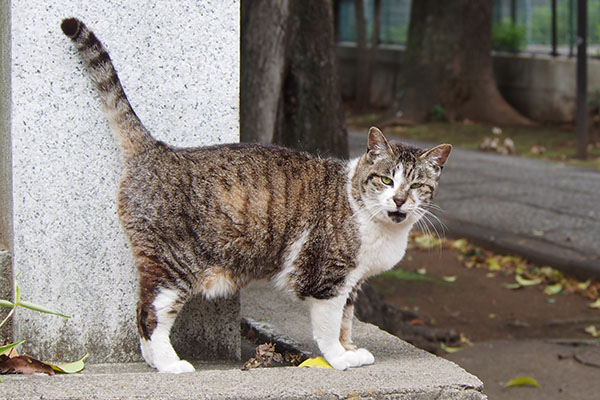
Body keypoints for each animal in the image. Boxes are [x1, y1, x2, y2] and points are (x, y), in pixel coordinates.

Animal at [62, 17, 454, 374]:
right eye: (386, 180)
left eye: (416, 186)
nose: (399, 200)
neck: (378, 223)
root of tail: (156, 149)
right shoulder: (326, 279)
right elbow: (329, 328)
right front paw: (339, 360)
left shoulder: (352, 284)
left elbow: (346, 323)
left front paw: (351, 350)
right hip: (173, 265)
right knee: (149, 315)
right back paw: (169, 365)